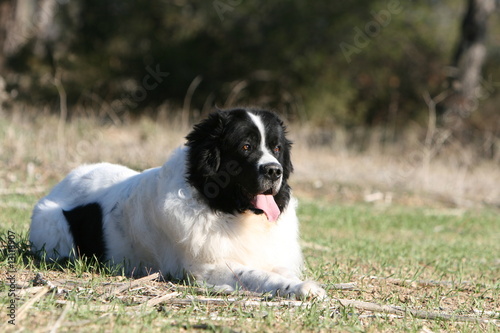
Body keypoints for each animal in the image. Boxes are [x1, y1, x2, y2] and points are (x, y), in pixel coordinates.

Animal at [32, 107, 328, 296]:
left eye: (277, 148)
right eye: (246, 147)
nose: (274, 171)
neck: (225, 209)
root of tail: (62, 182)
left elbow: (279, 270)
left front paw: (298, 283)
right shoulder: (208, 268)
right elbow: (259, 275)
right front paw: (301, 288)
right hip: (56, 232)